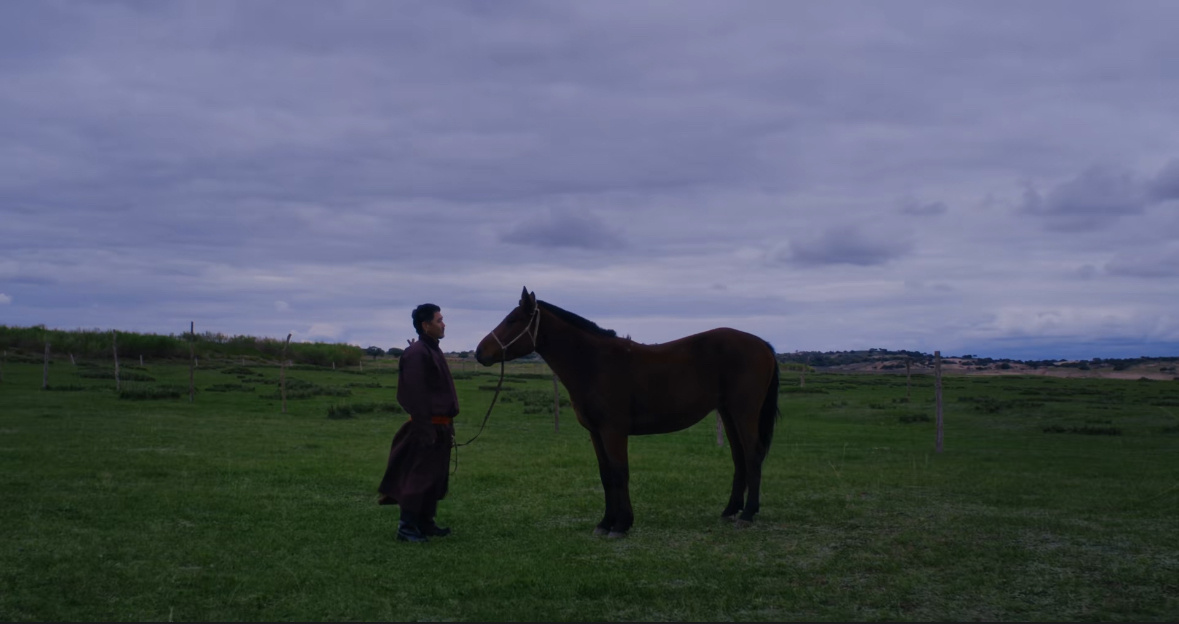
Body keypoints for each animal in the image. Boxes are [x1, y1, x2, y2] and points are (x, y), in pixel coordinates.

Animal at [473, 286, 778, 535]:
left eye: (513, 320)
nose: (479, 352)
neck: (594, 363)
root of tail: (762, 344)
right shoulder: (596, 432)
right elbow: (606, 475)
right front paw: (605, 523)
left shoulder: (613, 431)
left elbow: (620, 473)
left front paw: (621, 525)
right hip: (727, 413)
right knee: (739, 457)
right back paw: (730, 510)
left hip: (744, 412)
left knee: (752, 455)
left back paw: (748, 514)